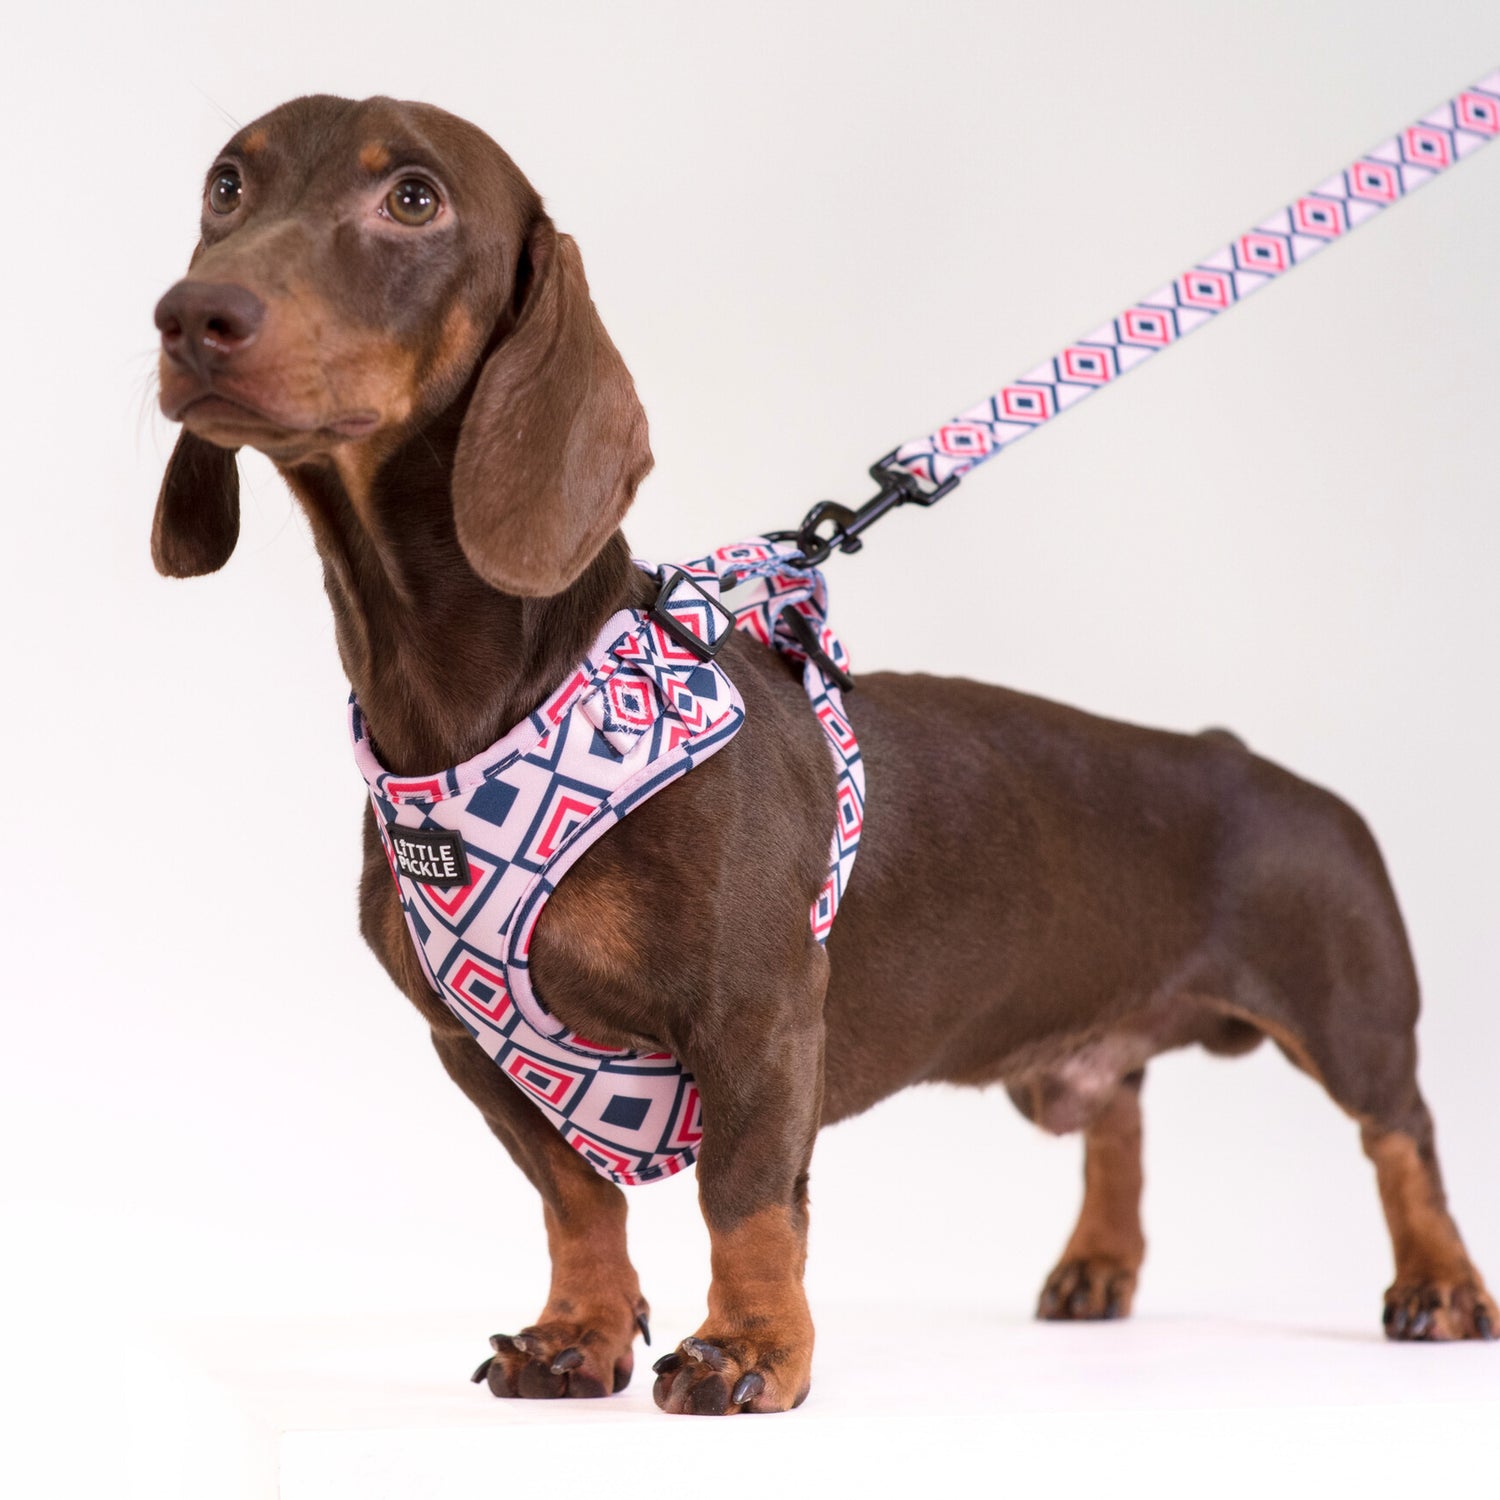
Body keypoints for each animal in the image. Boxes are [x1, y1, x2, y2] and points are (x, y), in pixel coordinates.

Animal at [149, 96, 1488, 1416]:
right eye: (225, 184)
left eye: (414, 198)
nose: (190, 316)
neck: (495, 707)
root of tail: (1245, 755)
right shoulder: (474, 1047)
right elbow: (575, 1201)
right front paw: (578, 1334)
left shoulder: (760, 1016)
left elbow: (744, 1200)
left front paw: (748, 1350)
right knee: (1120, 1115)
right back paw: (1098, 1263)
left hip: (1353, 1011)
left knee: (1403, 1135)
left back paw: (1441, 1283)